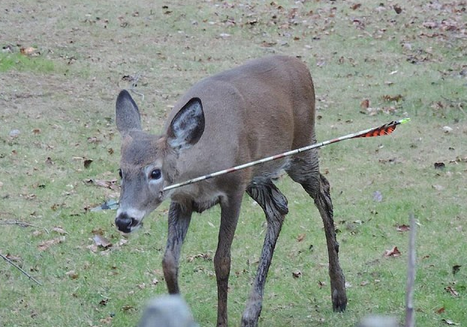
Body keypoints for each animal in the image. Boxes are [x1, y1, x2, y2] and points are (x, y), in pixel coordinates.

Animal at [114, 55, 348, 326]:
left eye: (155, 172)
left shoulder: (234, 189)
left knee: (323, 191)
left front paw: (222, 321)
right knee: (279, 205)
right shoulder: (181, 200)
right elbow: (169, 261)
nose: (124, 220)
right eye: (120, 171)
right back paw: (252, 311)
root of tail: (300, 64)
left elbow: (222, 261)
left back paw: (339, 294)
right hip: (258, 173)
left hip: (302, 148)